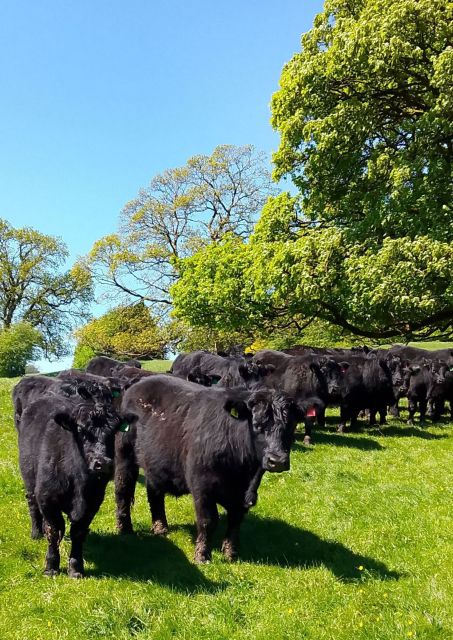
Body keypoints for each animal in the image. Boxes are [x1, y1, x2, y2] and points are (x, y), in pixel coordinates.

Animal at [15, 392, 121, 577]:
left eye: (114, 432)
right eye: (80, 430)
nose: (103, 463)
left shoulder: (92, 504)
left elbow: (77, 533)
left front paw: (76, 568)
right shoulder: (47, 499)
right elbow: (54, 530)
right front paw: (51, 567)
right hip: (29, 480)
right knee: (32, 503)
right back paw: (36, 533)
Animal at [118, 375, 299, 562]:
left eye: (291, 426)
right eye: (257, 425)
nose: (277, 460)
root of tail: (139, 382)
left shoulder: (244, 494)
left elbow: (235, 520)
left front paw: (231, 553)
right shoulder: (202, 486)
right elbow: (208, 520)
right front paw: (202, 555)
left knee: (154, 493)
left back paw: (160, 528)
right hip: (124, 456)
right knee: (123, 490)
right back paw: (125, 529)